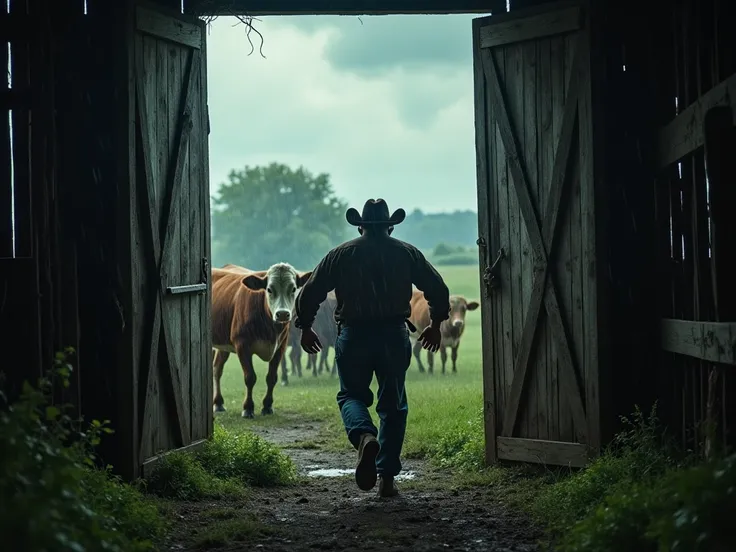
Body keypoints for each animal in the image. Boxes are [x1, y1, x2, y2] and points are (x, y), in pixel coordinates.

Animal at [210, 264, 310, 418]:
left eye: (293, 289)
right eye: (269, 289)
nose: (282, 314)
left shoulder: (280, 346)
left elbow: (272, 377)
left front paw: (267, 406)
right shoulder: (242, 345)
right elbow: (250, 377)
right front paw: (248, 408)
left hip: (223, 344)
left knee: (217, 369)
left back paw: (219, 403)